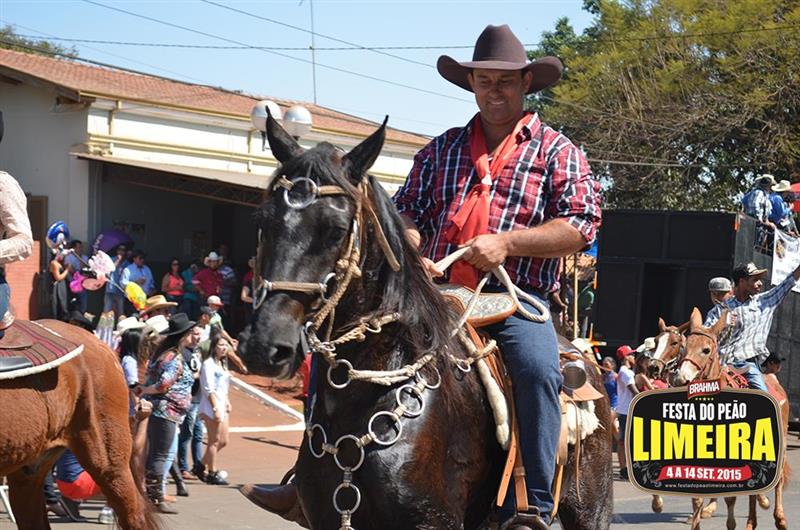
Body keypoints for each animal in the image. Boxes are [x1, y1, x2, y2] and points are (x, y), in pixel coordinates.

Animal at [672, 308, 789, 530]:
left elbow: (730, 495)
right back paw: (751, 522)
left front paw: (731, 523)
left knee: (777, 479)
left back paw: (780, 518)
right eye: (684, 347)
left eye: (706, 350)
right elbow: (697, 497)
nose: (680, 378)